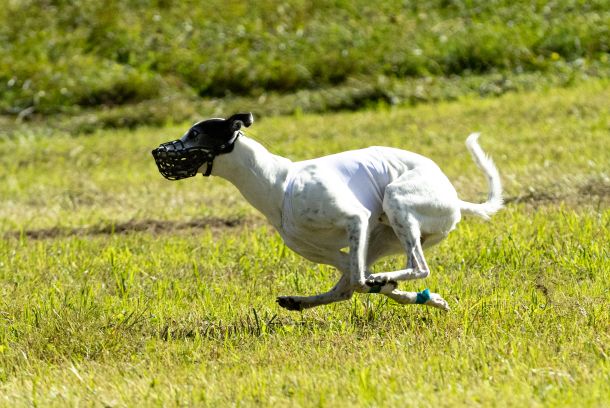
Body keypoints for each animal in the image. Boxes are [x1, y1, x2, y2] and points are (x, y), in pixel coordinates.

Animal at [152, 113, 502, 311]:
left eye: (195, 134)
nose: (157, 151)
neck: (279, 184)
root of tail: (454, 198)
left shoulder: (355, 219)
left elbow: (360, 280)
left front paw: (394, 287)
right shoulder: (328, 250)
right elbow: (353, 280)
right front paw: (420, 297)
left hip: (396, 202)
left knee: (418, 267)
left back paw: (393, 281)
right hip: (380, 236)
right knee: (352, 285)